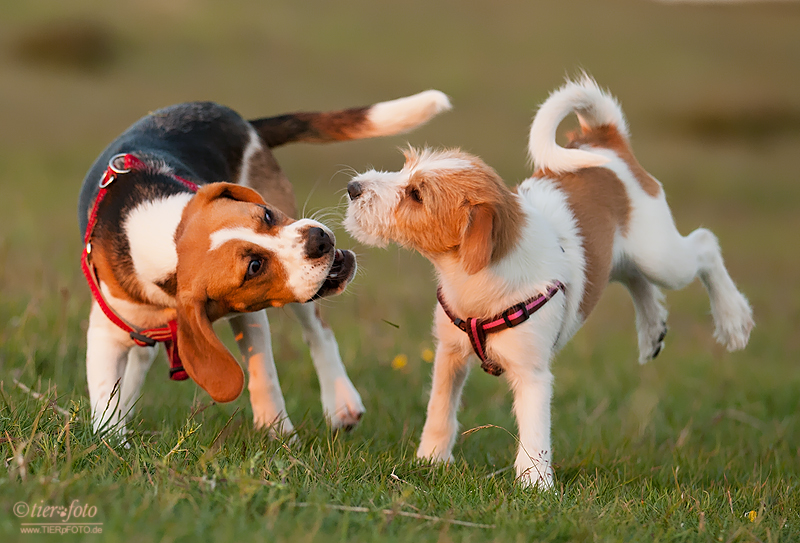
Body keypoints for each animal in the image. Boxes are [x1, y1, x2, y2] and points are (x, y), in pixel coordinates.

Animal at [82, 91, 454, 436]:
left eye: (266, 215)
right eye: (254, 267)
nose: (319, 240)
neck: (168, 237)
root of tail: (241, 121)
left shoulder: (248, 314)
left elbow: (264, 373)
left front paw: (277, 431)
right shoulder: (106, 331)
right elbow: (104, 398)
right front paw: (112, 440)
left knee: (319, 331)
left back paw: (342, 404)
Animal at [346, 78, 756, 490]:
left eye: (416, 195)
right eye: (404, 169)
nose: (353, 187)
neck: (474, 281)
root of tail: (603, 142)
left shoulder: (532, 374)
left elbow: (534, 432)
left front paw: (534, 485)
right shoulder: (449, 353)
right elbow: (440, 409)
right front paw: (431, 458)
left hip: (661, 256)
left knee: (704, 245)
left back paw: (732, 319)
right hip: (625, 256)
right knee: (635, 277)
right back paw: (652, 328)